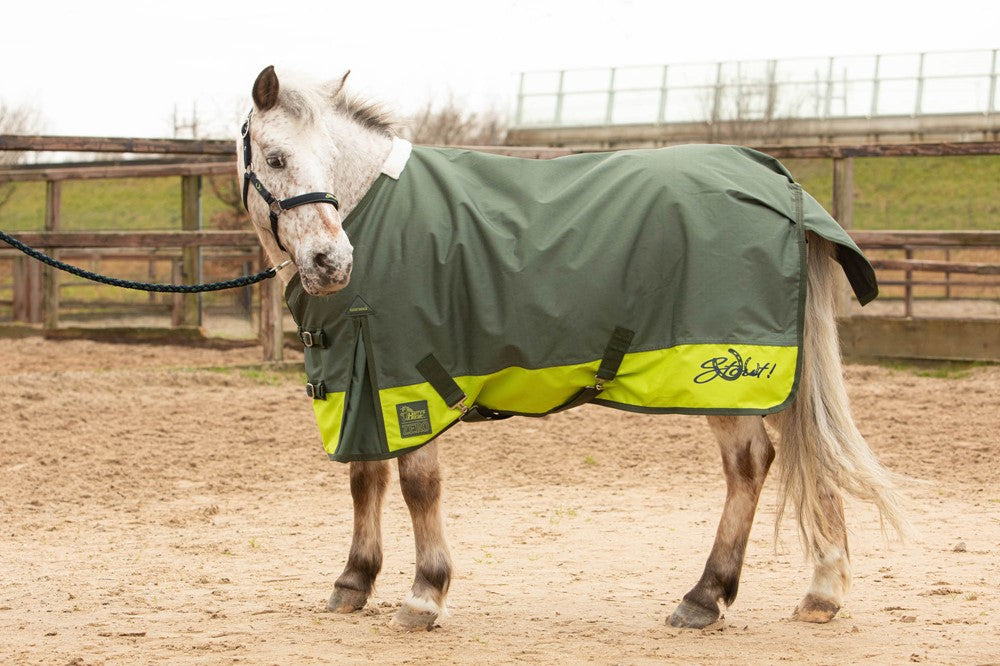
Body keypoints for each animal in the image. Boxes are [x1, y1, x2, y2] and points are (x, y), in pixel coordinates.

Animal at [237, 65, 908, 632]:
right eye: (276, 158)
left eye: (326, 158)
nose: (332, 262)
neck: (373, 211)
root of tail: (777, 178)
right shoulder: (362, 376)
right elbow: (366, 476)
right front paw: (353, 582)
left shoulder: (410, 378)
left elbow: (417, 483)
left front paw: (424, 595)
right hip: (777, 375)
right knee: (805, 450)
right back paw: (819, 592)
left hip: (731, 377)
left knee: (750, 464)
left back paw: (705, 596)